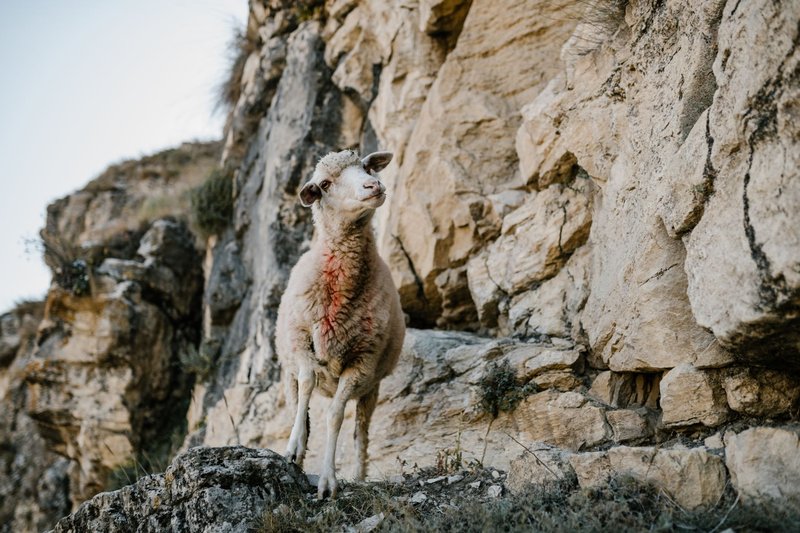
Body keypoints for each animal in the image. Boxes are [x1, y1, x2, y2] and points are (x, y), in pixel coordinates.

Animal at [275, 149, 405, 499]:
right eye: (324, 184)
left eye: (366, 167)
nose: (374, 185)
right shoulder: (301, 338)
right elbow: (307, 382)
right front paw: (292, 448)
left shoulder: (362, 363)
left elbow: (335, 416)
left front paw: (328, 482)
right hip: (286, 371)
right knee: (299, 403)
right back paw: (298, 449)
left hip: (371, 387)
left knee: (361, 430)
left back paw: (359, 475)